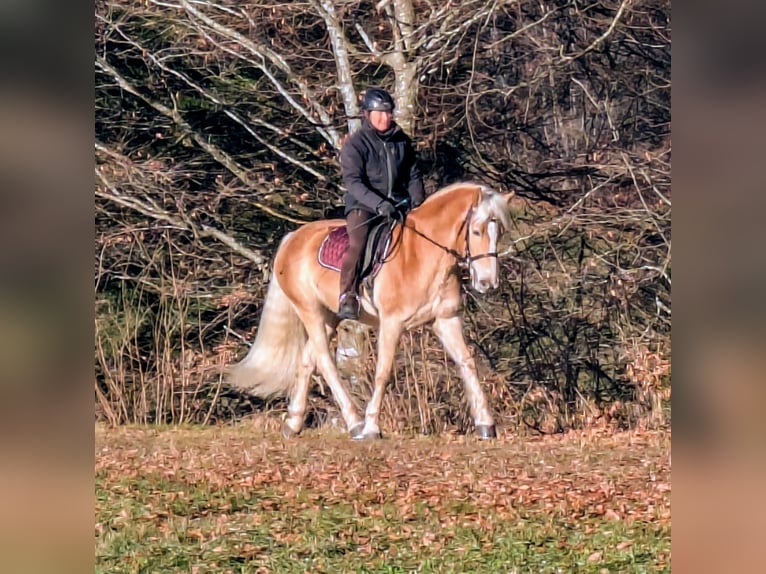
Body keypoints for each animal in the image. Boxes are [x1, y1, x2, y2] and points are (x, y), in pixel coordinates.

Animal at [228, 183, 516, 440]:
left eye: (500, 231)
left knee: (308, 360)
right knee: (325, 362)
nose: (488, 283)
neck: (424, 255)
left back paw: (293, 423)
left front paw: (485, 425)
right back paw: (354, 423)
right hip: (309, 310)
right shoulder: (391, 323)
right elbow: (383, 373)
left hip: (329, 316)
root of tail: (293, 238)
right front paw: (371, 428)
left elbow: (467, 363)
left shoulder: (446, 320)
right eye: (476, 231)